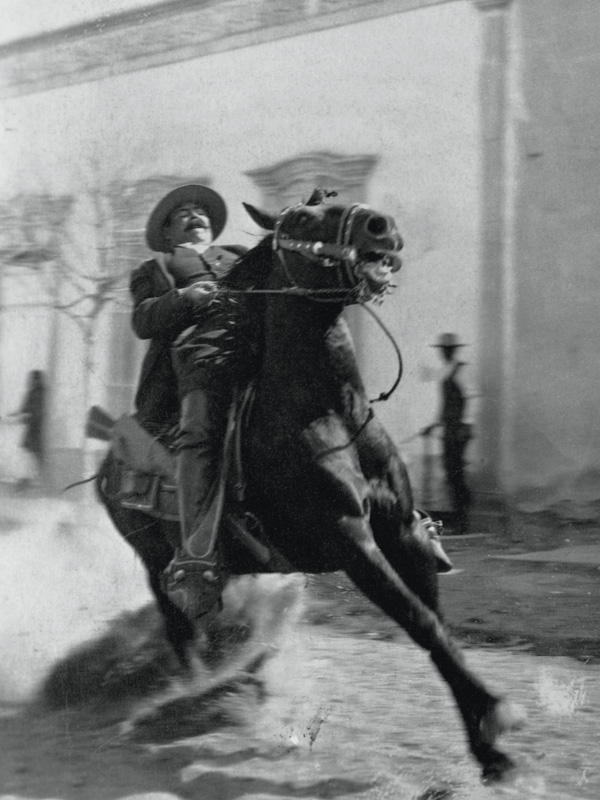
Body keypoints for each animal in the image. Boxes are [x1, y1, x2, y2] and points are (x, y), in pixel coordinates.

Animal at [96, 191, 524, 780]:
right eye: (301, 218)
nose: (381, 227)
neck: (329, 413)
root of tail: (107, 459)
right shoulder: (350, 541)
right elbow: (419, 622)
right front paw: (496, 714)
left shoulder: (403, 534)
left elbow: (437, 628)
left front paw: (488, 749)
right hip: (154, 560)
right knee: (183, 630)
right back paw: (200, 695)